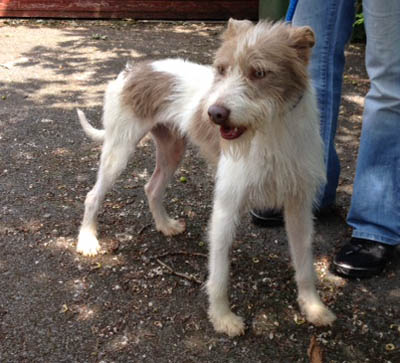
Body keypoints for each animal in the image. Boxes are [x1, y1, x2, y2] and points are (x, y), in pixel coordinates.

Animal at [76, 19, 336, 338]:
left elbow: (305, 264)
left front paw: (313, 307)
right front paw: (223, 317)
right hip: (119, 150)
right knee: (93, 195)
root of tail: (133, 69)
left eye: (259, 73)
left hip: (172, 150)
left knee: (152, 187)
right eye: (221, 69)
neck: (271, 131)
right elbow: (220, 274)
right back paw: (88, 240)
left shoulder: (299, 207)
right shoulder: (226, 207)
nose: (214, 114)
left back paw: (164, 225)